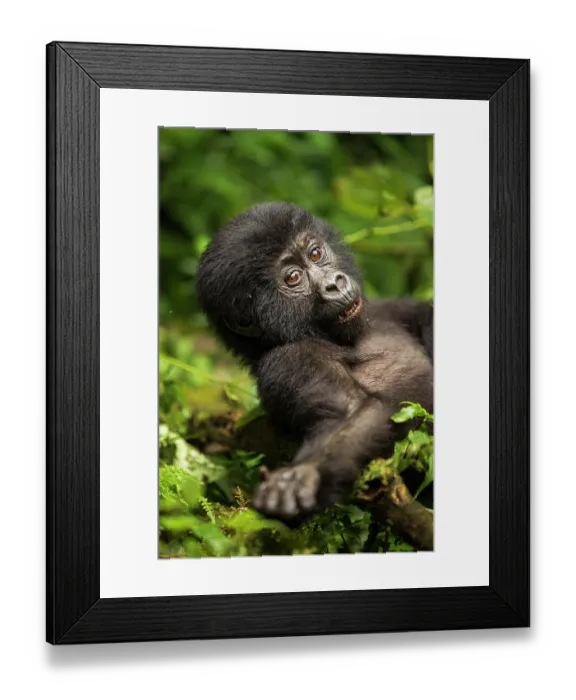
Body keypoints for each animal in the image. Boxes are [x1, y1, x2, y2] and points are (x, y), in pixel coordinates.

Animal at [196, 201, 433, 521]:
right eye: (293, 278)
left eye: (316, 253)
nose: (334, 283)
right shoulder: (287, 358)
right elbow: (349, 411)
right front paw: (305, 475)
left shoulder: (386, 309)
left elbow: (425, 314)